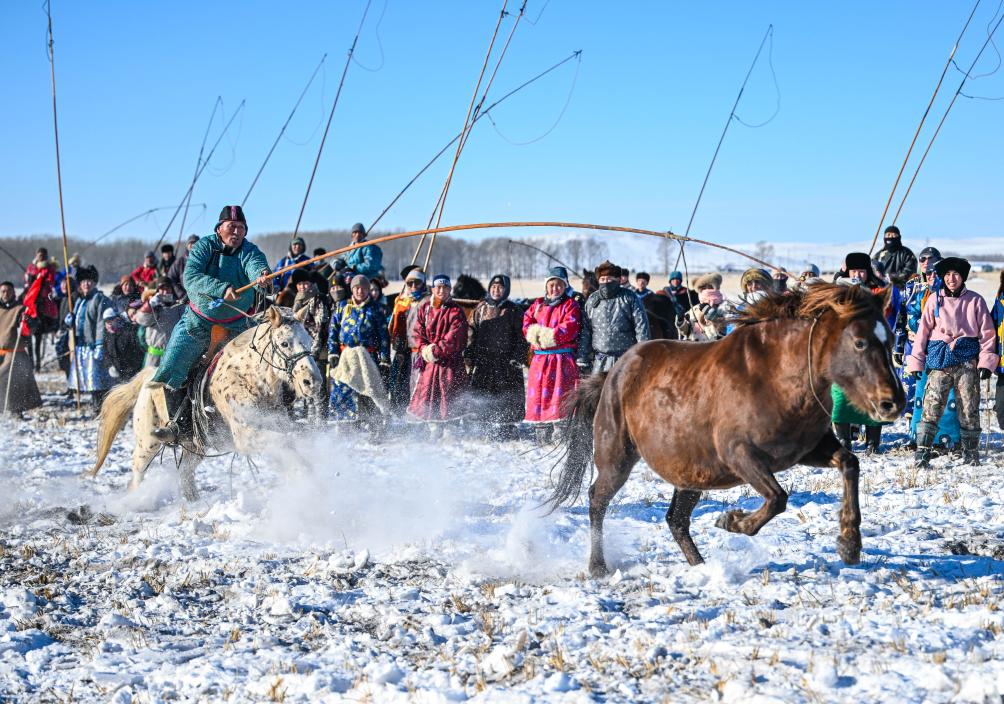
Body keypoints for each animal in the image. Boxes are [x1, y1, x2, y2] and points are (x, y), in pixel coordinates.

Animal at [91, 305, 321, 496]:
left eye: (310, 341)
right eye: (285, 343)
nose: (312, 381)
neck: (248, 378)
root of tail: (149, 377)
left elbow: (288, 446)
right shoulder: (246, 435)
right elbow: (285, 443)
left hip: (195, 447)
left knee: (185, 473)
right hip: (148, 441)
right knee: (137, 473)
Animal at [546, 281, 907, 578]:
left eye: (890, 339)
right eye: (859, 342)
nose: (894, 402)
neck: (776, 376)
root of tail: (613, 373)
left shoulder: (808, 449)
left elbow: (849, 464)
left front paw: (849, 544)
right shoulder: (740, 455)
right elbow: (778, 498)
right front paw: (731, 520)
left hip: (690, 473)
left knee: (676, 519)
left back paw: (702, 567)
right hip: (617, 458)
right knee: (597, 499)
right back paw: (598, 567)